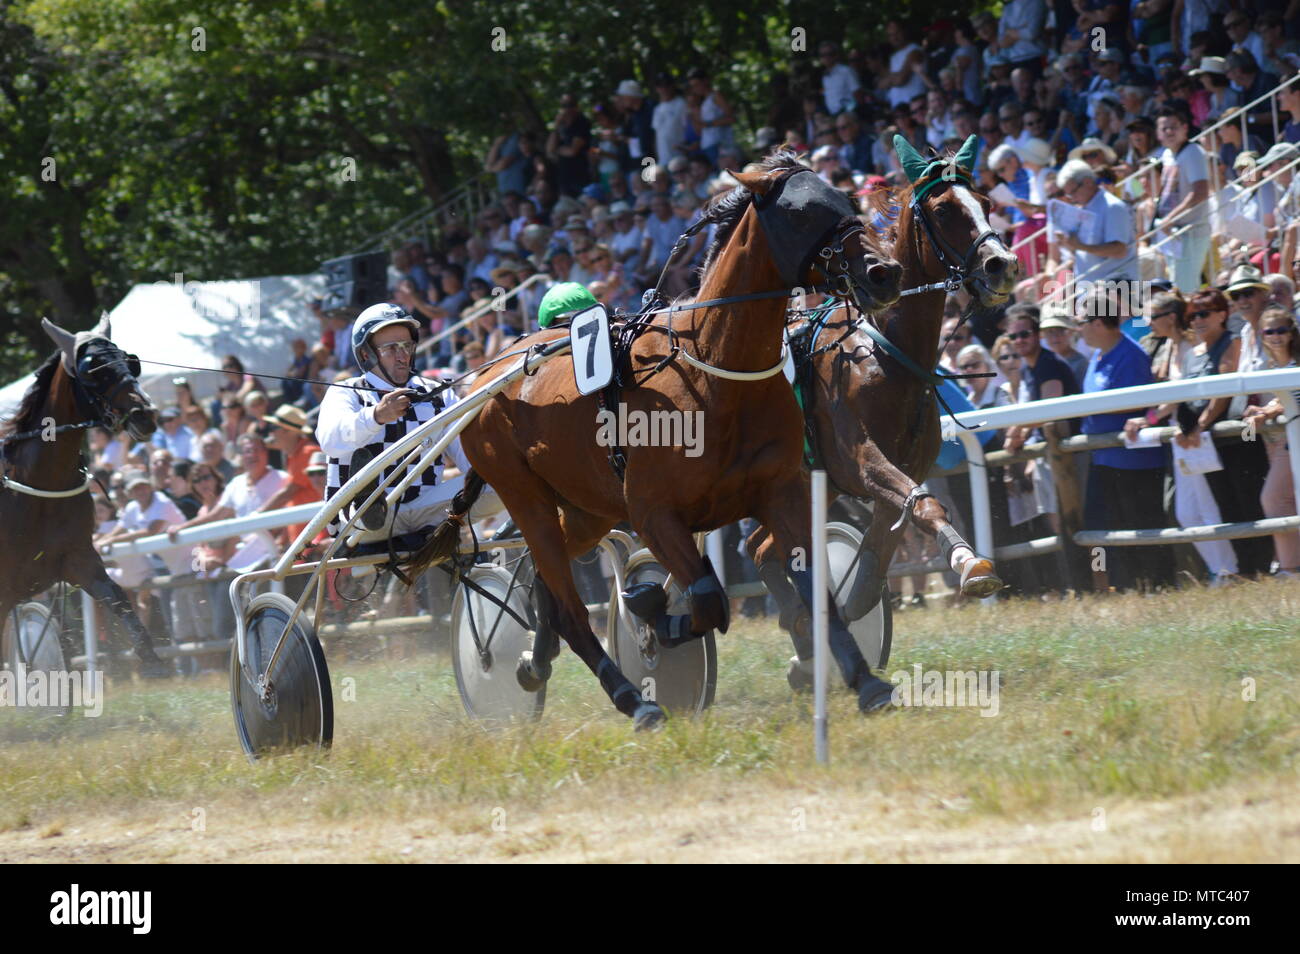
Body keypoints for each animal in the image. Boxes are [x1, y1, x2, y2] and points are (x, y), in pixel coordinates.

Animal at [0, 315, 167, 676]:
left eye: (130, 361)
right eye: (94, 369)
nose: (145, 414)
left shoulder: (79, 559)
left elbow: (118, 600)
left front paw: (152, 660)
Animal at [421, 153, 905, 727]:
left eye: (848, 200)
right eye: (801, 213)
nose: (884, 272)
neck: (715, 372)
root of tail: (486, 377)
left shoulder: (780, 493)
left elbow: (816, 588)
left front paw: (866, 681)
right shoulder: (654, 514)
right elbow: (708, 597)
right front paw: (655, 616)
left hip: (586, 510)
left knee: (547, 585)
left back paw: (536, 664)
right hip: (524, 497)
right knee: (569, 605)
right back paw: (632, 700)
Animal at [747, 135, 1020, 673]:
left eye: (987, 203)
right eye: (944, 208)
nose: (1001, 264)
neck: (886, 355)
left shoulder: (904, 466)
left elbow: (879, 553)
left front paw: (842, 617)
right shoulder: (863, 461)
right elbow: (925, 505)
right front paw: (971, 565)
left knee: (763, 549)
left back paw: (802, 644)